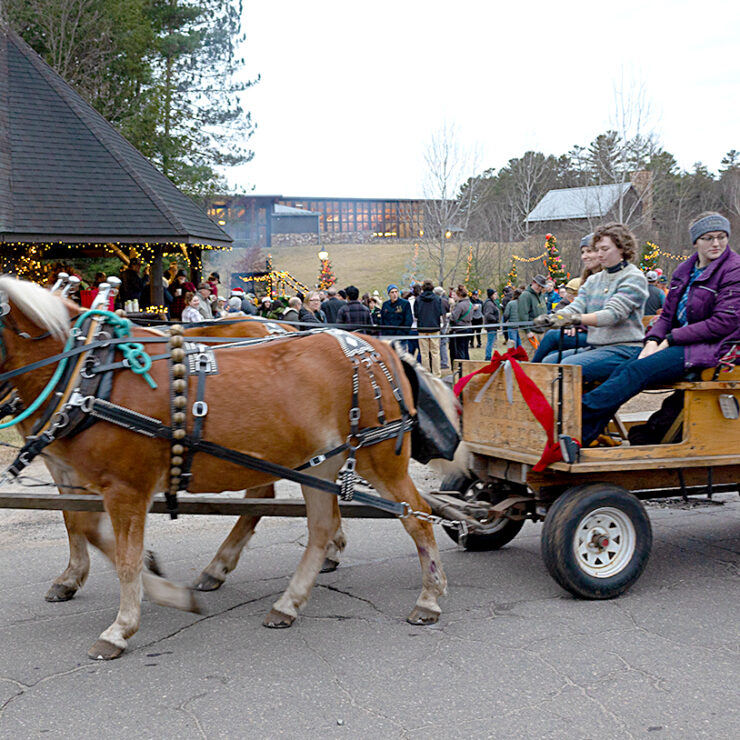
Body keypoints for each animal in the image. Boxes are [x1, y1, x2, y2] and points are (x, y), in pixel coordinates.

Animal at [0, 278, 454, 660]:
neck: (90, 372)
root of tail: (380, 347)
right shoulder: (80, 476)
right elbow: (83, 528)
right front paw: (148, 585)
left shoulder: (126, 487)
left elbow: (122, 556)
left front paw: (122, 626)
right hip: (322, 465)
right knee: (320, 527)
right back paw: (285, 601)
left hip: (379, 459)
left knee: (418, 517)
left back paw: (429, 598)